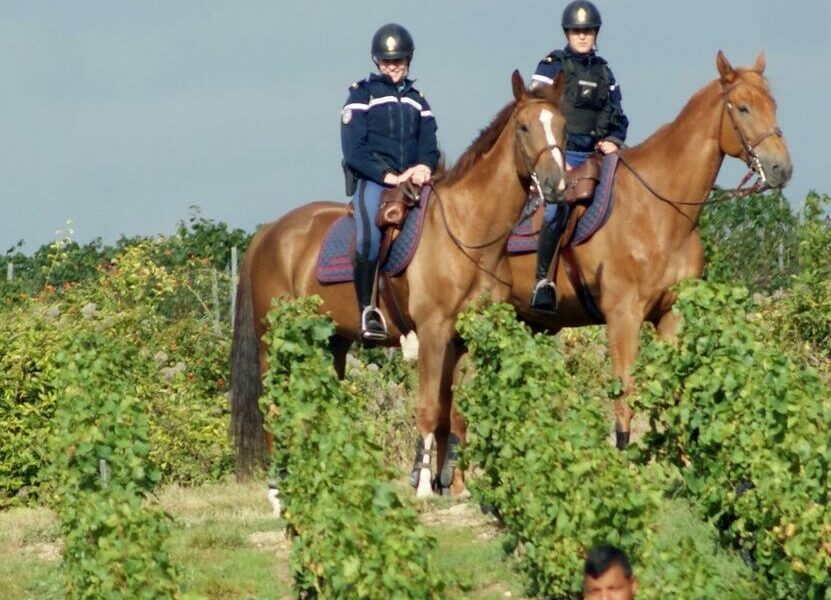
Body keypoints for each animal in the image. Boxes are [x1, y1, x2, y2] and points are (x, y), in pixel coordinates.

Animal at [234, 71, 572, 496]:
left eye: (562, 126)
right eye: (524, 127)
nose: (557, 185)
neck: (467, 231)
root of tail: (269, 232)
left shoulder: (465, 338)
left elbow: (454, 412)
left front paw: (454, 486)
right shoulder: (432, 332)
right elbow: (429, 409)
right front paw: (425, 486)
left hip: (331, 342)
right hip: (274, 343)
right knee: (275, 407)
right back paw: (279, 488)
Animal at [500, 52, 792, 450]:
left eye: (773, 105)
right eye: (743, 108)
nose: (782, 168)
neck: (659, 210)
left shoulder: (670, 316)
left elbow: (676, 393)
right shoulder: (623, 317)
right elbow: (625, 395)